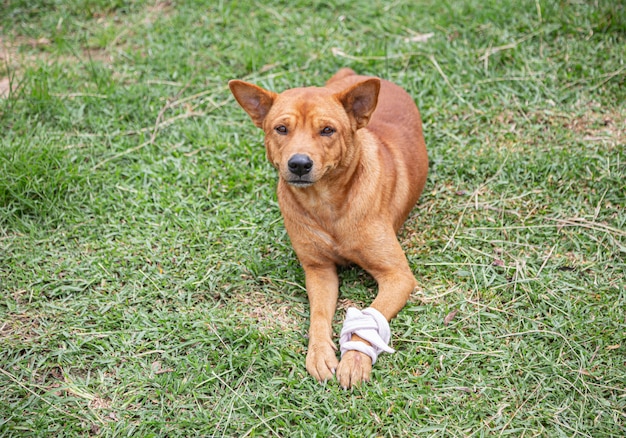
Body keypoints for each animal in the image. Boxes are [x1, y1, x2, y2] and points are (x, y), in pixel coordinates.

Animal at [227, 67, 426, 386]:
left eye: (327, 130)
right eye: (281, 129)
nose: (299, 164)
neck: (326, 205)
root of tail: (355, 73)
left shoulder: (397, 276)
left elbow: (370, 316)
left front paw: (355, 358)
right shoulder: (318, 270)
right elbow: (319, 315)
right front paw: (319, 352)